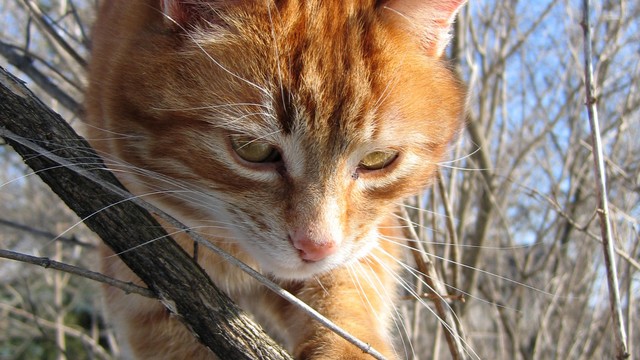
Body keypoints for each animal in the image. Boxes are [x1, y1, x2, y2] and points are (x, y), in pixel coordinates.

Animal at [84, 0, 464, 358]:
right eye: (253, 149)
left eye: (378, 160)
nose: (315, 247)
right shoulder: (144, 283)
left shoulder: (369, 239)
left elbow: (345, 293)